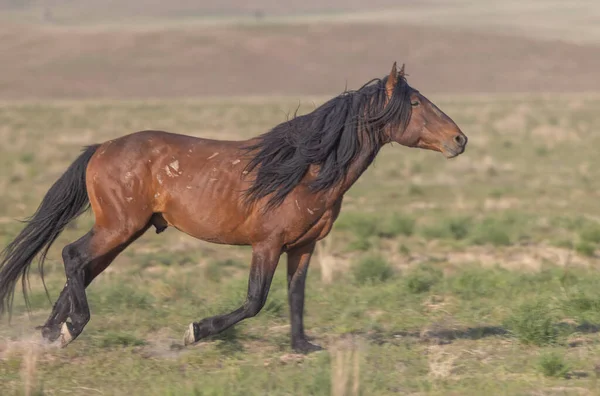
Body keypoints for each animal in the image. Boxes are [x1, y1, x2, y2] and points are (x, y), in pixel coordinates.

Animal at [0, 63, 468, 354]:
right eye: (415, 103)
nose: (460, 140)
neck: (306, 170)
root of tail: (101, 148)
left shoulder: (303, 247)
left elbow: (296, 295)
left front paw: (303, 346)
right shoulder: (267, 245)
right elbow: (254, 301)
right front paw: (194, 332)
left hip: (122, 232)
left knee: (82, 268)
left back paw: (52, 333)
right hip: (118, 228)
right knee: (72, 256)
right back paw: (69, 329)